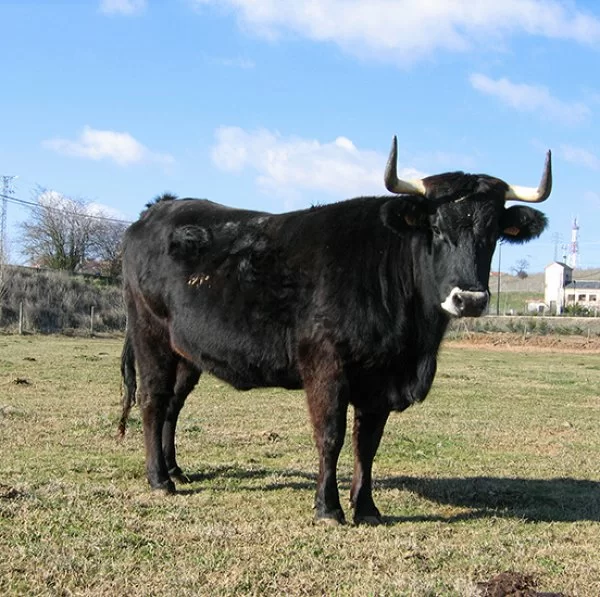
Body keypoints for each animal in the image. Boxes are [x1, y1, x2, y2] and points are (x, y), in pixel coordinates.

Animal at [119, 139, 552, 520]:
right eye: (437, 229)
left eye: (492, 234)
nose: (471, 299)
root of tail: (158, 208)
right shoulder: (325, 365)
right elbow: (330, 435)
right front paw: (328, 508)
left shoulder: (380, 381)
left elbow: (367, 443)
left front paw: (367, 508)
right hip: (149, 334)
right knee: (153, 400)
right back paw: (159, 480)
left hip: (185, 353)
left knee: (174, 405)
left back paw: (176, 470)